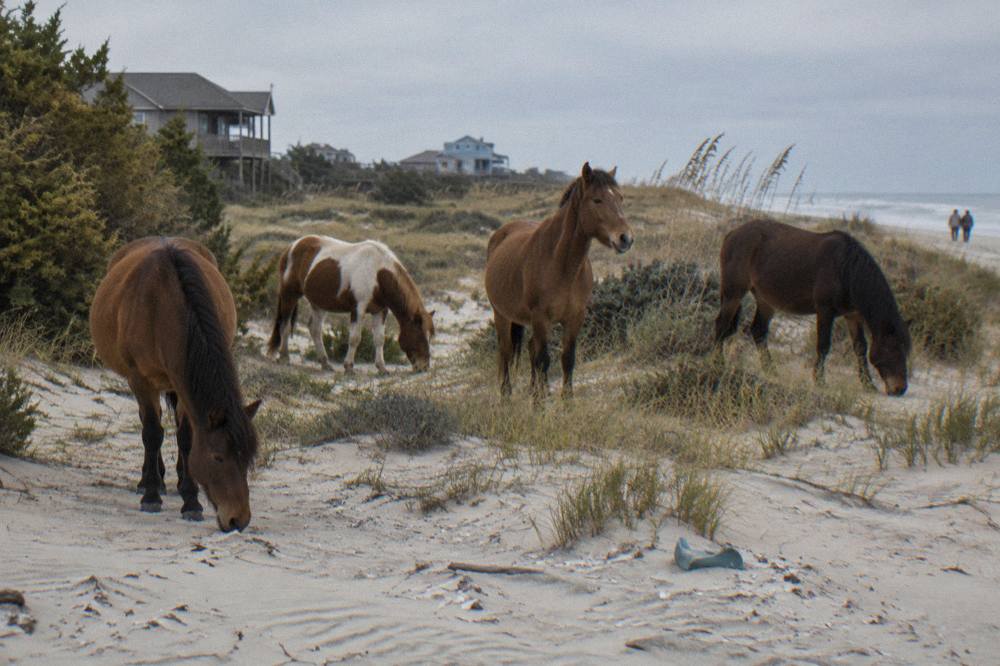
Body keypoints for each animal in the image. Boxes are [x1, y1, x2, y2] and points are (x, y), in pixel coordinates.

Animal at [90, 237, 261, 531]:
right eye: (218, 457)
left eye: (248, 458)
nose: (239, 519)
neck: (162, 307)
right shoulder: (140, 379)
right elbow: (151, 432)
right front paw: (151, 495)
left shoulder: (182, 384)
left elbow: (186, 438)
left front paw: (191, 499)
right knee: (151, 424)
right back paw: (151, 480)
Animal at [267, 235, 435, 373]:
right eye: (420, 335)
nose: (424, 366)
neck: (378, 274)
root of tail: (292, 246)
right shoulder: (358, 309)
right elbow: (355, 338)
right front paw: (349, 367)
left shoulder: (380, 311)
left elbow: (379, 339)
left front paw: (382, 368)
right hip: (290, 295)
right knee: (285, 325)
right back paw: (284, 357)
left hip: (319, 304)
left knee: (314, 329)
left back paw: (325, 363)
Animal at [484, 162, 633, 399]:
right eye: (597, 200)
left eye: (620, 198)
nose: (625, 238)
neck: (561, 265)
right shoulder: (540, 318)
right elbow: (543, 360)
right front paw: (539, 404)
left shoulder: (574, 318)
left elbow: (567, 360)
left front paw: (566, 401)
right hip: (501, 315)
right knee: (506, 352)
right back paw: (507, 396)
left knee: (529, 348)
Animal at [714, 218, 910, 396]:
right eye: (893, 350)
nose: (900, 389)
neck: (846, 270)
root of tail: (732, 234)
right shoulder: (825, 311)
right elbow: (823, 346)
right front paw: (820, 381)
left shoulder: (852, 315)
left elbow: (860, 348)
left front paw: (868, 384)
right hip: (734, 292)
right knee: (722, 324)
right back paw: (719, 362)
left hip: (765, 300)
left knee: (758, 331)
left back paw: (770, 369)